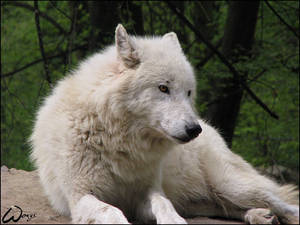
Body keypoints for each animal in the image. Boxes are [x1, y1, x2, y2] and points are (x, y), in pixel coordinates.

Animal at [29, 23, 298, 224]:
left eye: (188, 92)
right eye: (163, 88)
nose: (194, 129)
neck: (119, 141)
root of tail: (211, 129)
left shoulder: (147, 193)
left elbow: (164, 204)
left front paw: (174, 221)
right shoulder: (80, 196)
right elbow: (112, 211)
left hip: (232, 186)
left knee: (284, 204)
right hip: (206, 199)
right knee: (227, 208)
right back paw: (259, 215)